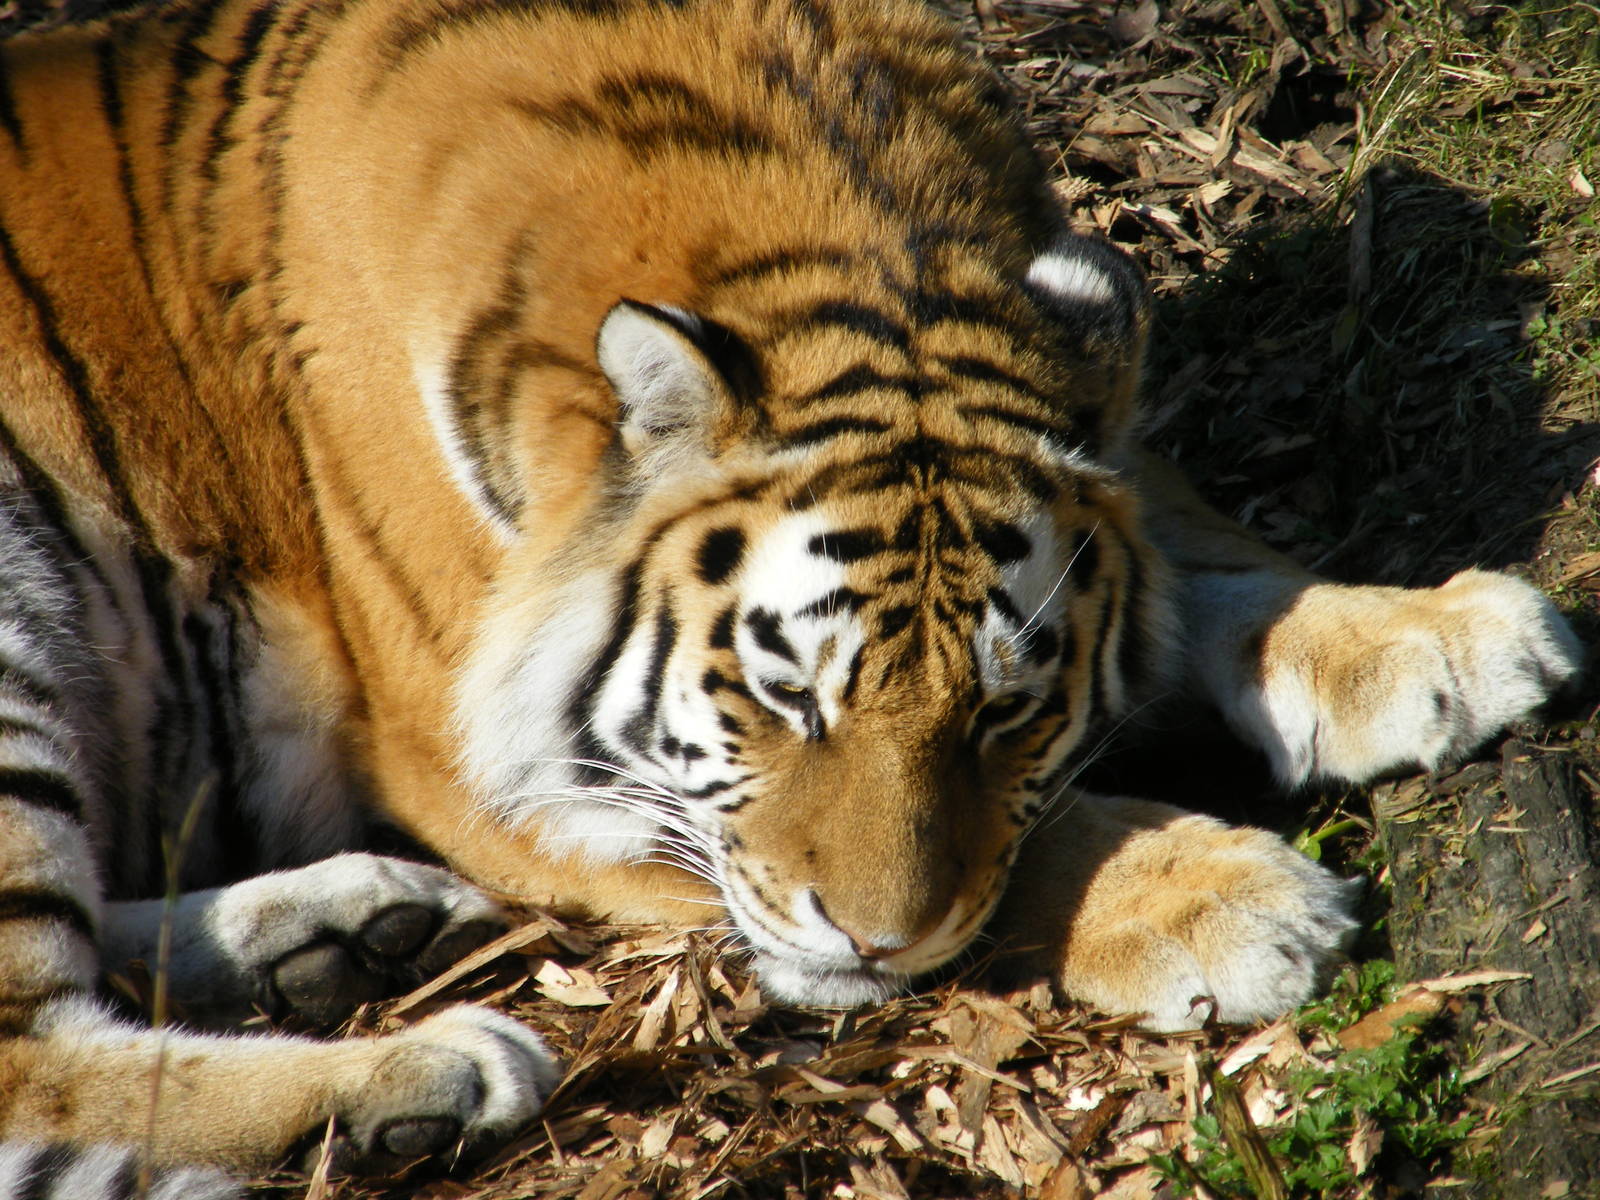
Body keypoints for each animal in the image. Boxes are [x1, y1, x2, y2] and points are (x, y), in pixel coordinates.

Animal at [0, 0, 1582, 1194]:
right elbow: (1037, 848)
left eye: (1006, 711)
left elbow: (1212, 564)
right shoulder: (483, 763)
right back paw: (433, 1068)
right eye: (781, 699)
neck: (831, 230)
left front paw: (1437, 637)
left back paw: (354, 934)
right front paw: (1223, 896)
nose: (874, 945)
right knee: (32, 1056)